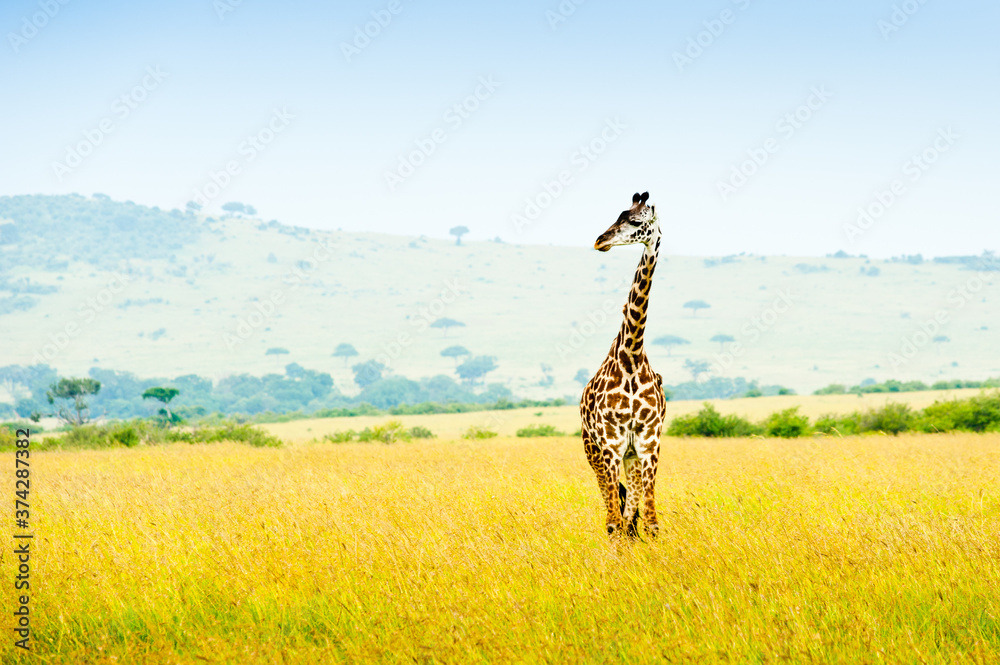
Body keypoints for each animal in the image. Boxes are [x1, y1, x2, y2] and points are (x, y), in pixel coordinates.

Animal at [580, 191, 667, 539]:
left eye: (634, 221)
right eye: (617, 215)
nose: (600, 241)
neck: (631, 356)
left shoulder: (649, 441)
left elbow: (650, 521)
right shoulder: (611, 442)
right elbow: (614, 522)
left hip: (630, 457)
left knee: (629, 515)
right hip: (593, 449)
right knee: (613, 516)